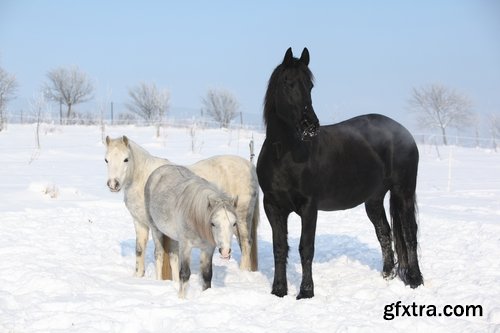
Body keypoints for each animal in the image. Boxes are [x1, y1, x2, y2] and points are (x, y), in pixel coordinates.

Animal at [102, 136, 258, 278]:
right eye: (106, 160)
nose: (113, 184)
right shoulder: (140, 222)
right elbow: (139, 249)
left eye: (126, 159)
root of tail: (249, 166)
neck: (145, 179)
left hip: (242, 218)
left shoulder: (156, 226)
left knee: (246, 243)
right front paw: (138, 276)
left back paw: (243, 272)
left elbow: (162, 254)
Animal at [145, 165, 238, 296]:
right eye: (213, 223)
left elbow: (207, 275)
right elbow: (184, 274)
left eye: (234, 223)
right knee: (158, 254)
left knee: (173, 257)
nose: (225, 252)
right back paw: (158, 282)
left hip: (174, 237)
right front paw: (181, 298)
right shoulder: (186, 246)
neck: (196, 218)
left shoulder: (208, 248)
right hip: (155, 229)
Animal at [256, 47, 424, 298]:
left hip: (403, 192)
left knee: (409, 233)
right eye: (288, 83)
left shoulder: (309, 207)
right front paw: (278, 290)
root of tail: (404, 133)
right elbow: (280, 247)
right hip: (374, 200)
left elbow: (306, 248)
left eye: (310, 85)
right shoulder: (273, 206)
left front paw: (306, 292)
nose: (310, 125)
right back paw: (387, 276)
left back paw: (415, 280)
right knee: (384, 232)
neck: (285, 155)